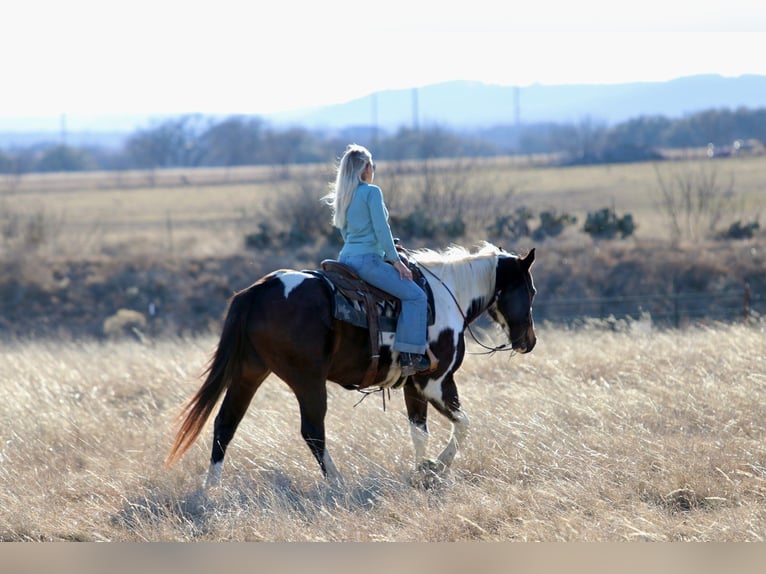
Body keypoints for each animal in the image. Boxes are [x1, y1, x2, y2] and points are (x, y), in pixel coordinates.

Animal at [165, 242, 536, 487]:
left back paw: (212, 489)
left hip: (249, 373)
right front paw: (437, 467)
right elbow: (464, 424)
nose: (528, 342)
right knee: (313, 431)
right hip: (307, 380)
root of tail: (260, 289)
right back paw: (338, 482)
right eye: (530, 291)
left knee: (226, 423)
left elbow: (419, 431)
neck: (446, 297)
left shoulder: (413, 385)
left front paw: (422, 471)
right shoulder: (436, 380)